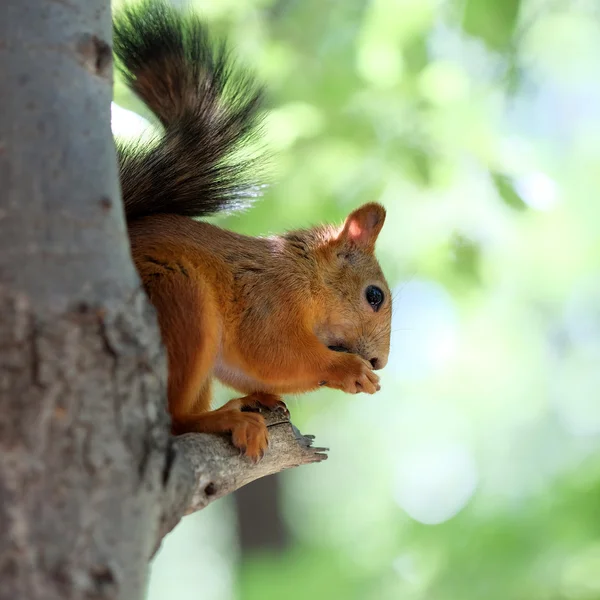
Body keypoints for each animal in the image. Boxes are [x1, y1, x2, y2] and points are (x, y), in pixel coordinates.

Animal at [113, 0, 394, 460]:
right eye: (374, 296)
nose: (379, 363)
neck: (304, 275)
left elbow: (251, 368)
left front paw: (266, 394)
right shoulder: (267, 299)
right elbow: (271, 352)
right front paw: (346, 370)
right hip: (179, 298)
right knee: (175, 420)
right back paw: (225, 419)